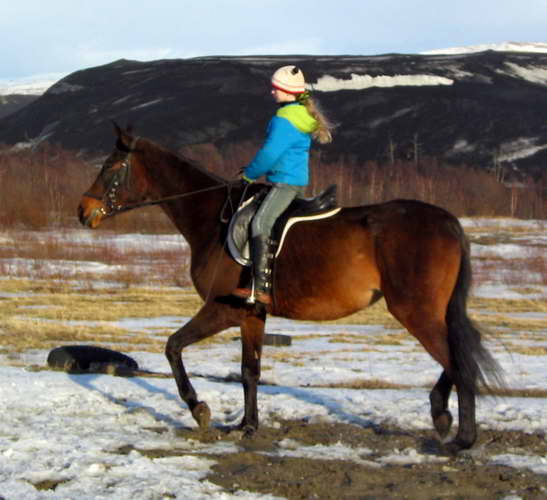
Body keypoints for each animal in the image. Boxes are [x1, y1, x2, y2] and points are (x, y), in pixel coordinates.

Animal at [78, 124, 506, 454]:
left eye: (111, 167)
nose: (83, 212)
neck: (212, 219)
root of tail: (448, 221)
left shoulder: (222, 309)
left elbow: (173, 346)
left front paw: (199, 409)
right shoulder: (251, 314)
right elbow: (250, 370)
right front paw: (247, 426)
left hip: (414, 310)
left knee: (457, 361)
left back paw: (462, 436)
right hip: (428, 310)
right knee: (457, 354)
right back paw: (441, 414)